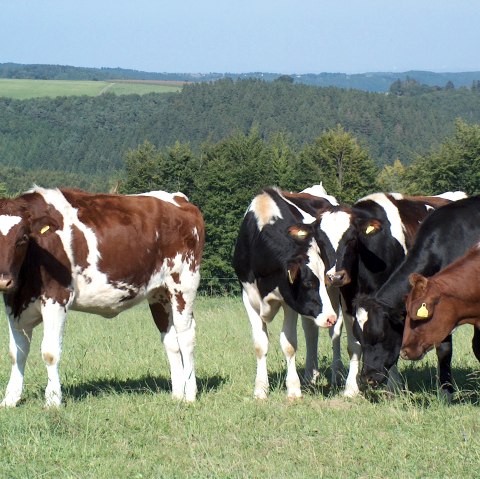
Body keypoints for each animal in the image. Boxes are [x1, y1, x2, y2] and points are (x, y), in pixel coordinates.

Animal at [0, 188, 204, 408]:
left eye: (22, 238)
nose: (3, 281)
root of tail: (179, 198)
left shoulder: (57, 298)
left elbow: (50, 352)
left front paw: (53, 400)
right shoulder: (14, 305)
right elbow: (16, 353)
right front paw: (10, 398)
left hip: (184, 283)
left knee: (186, 336)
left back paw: (190, 395)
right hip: (159, 293)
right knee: (170, 339)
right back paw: (177, 394)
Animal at [233, 186, 342, 400]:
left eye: (323, 279)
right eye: (308, 282)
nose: (329, 317)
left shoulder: (289, 301)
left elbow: (289, 344)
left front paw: (293, 389)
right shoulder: (248, 296)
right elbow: (260, 344)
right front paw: (260, 389)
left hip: (334, 294)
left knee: (336, 332)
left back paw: (336, 376)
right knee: (311, 331)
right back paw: (310, 375)